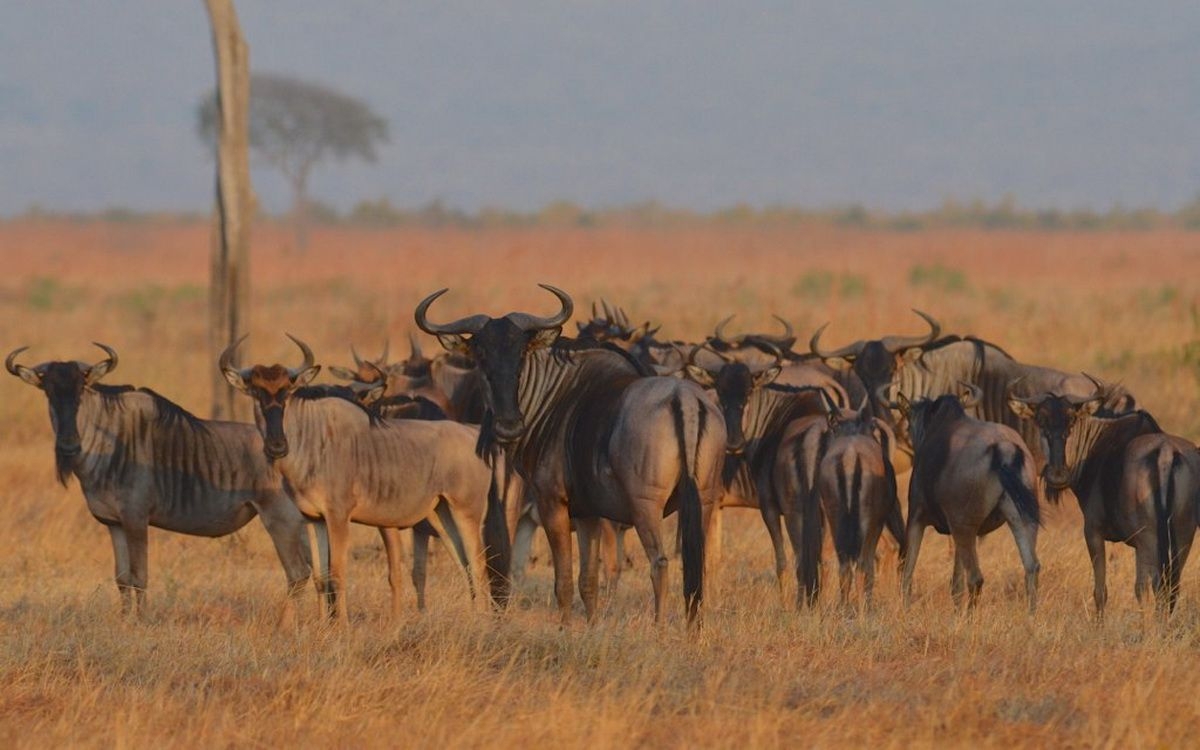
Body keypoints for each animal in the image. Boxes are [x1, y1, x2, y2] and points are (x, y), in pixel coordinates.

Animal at [5, 343, 314, 619]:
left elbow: (140, 576)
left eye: (81, 389)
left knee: (297, 573)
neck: (107, 442)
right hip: (301, 523)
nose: (68, 446)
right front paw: (125, 620)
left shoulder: (136, 519)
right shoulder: (114, 523)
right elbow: (122, 577)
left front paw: (142, 621)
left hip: (280, 520)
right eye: (48, 392)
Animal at [223, 336, 508, 624]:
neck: (314, 439)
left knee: (478, 565)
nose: (277, 446)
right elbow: (321, 578)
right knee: (465, 565)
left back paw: (482, 621)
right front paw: (324, 627)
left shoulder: (339, 517)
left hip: (465, 512)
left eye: (287, 392)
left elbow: (338, 574)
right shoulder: (314, 519)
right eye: (256, 393)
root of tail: (474, 436)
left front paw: (342, 627)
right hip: (441, 514)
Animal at [420, 285, 720, 624]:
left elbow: (562, 579)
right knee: (698, 567)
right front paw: (591, 627)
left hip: (646, 508)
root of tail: (685, 400)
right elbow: (587, 580)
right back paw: (694, 629)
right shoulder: (589, 514)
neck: (556, 394)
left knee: (660, 562)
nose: (509, 426)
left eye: (520, 355)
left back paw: (659, 627)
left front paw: (565, 628)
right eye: (481, 357)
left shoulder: (553, 503)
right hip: (703, 502)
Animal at [892, 386, 1041, 609]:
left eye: (909, 425)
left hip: (965, 528)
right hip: (1021, 522)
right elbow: (956, 583)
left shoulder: (916, 518)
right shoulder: (956, 532)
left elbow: (907, 571)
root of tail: (1004, 448)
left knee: (976, 578)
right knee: (1031, 568)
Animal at [1012, 386, 1200, 614]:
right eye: (1040, 421)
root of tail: (1165, 453)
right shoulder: (1139, 546)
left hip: (1151, 537)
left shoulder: (1093, 532)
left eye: (1071, 420)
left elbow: (1101, 591)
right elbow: (1139, 589)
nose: (1058, 475)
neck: (1098, 440)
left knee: (1160, 586)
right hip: (1183, 536)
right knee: (1171, 588)